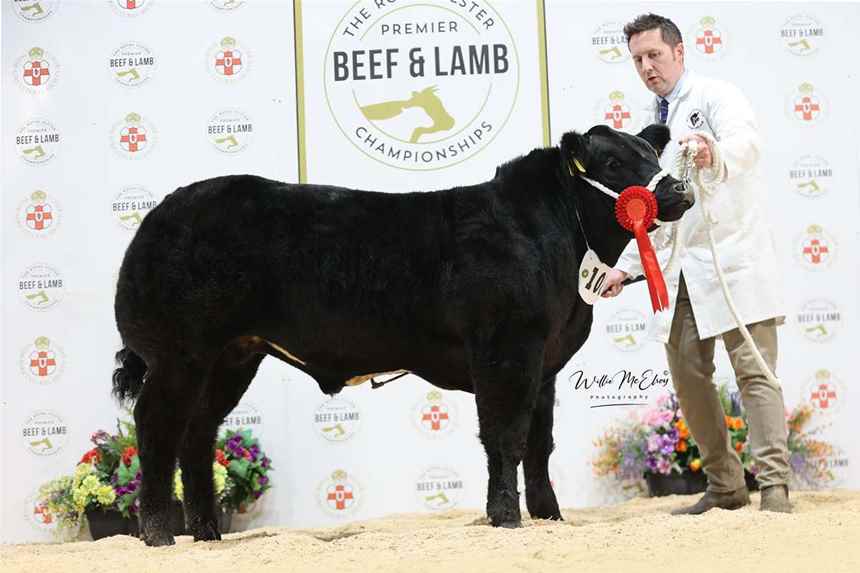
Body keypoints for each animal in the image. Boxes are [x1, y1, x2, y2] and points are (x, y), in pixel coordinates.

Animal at [112, 123, 693, 546]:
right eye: (614, 163)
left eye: (651, 152)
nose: (679, 187)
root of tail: (161, 215)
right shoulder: (506, 349)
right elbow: (505, 435)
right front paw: (505, 517)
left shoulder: (544, 362)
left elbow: (539, 442)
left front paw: (550, 517)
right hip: (180, 354)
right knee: (157, 424)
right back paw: (159, 534)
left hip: (232, 356)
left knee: (198, 431)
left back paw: (207, 534)